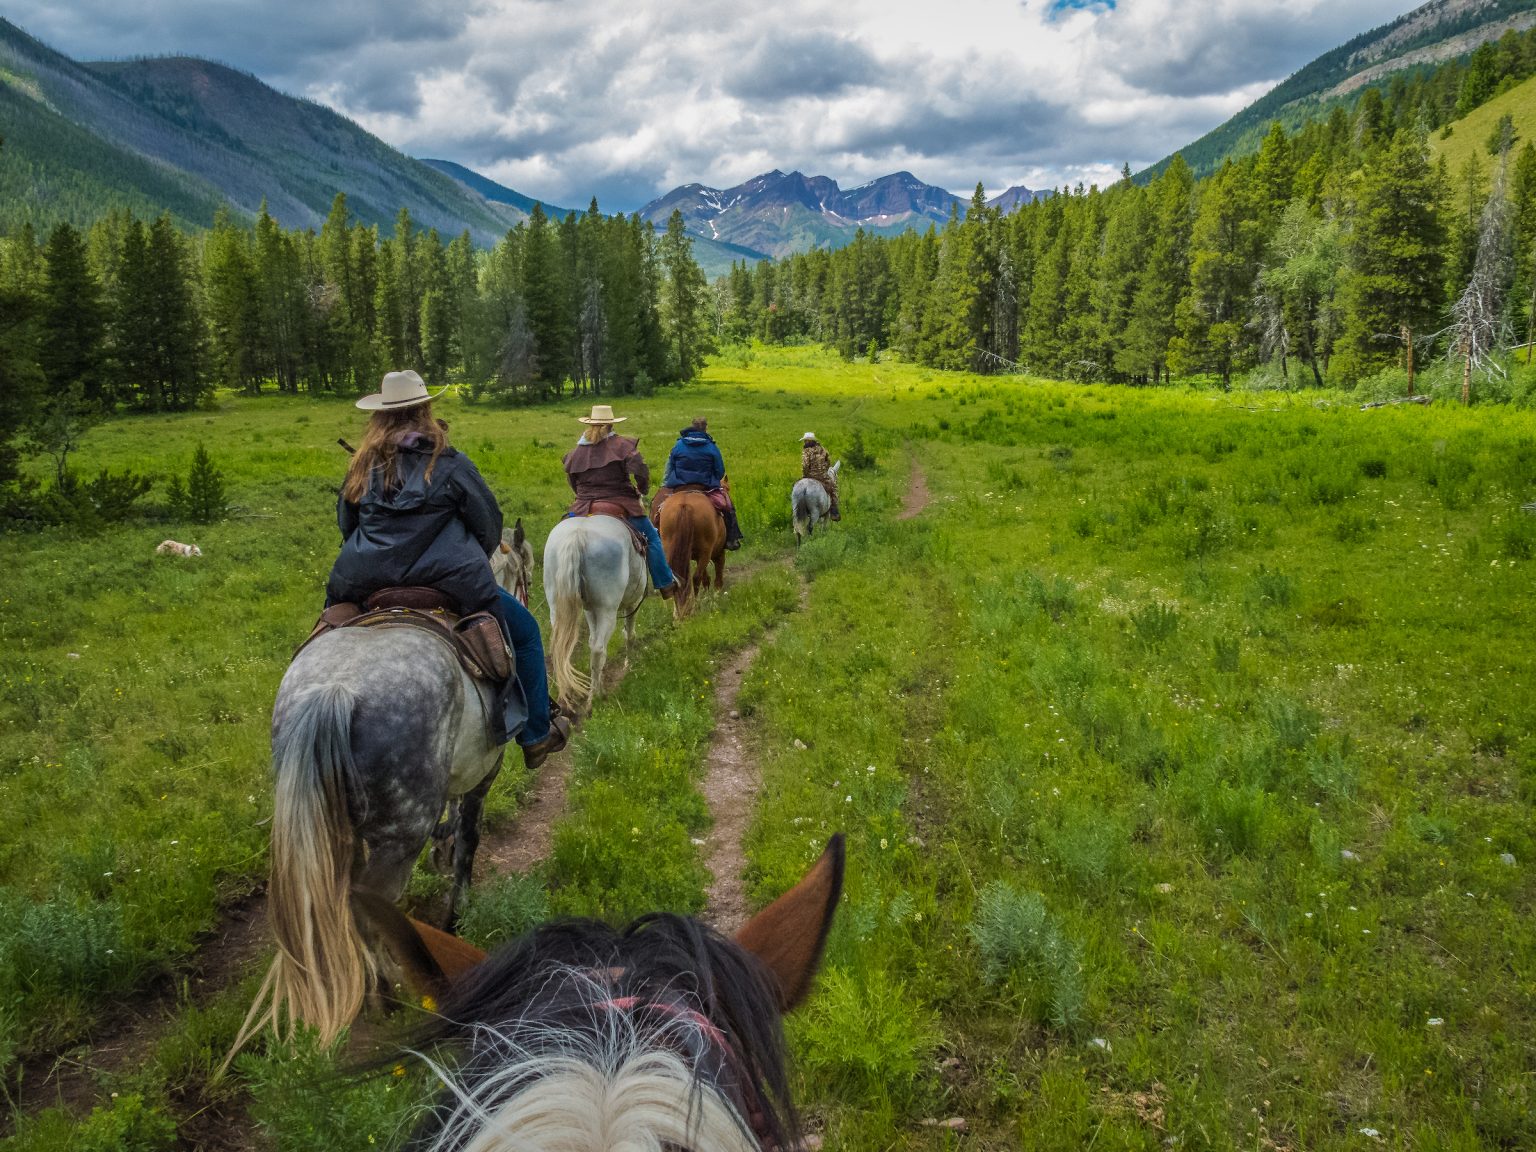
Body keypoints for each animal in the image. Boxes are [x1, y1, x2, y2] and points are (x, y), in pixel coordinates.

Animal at [230, 626, 503, 1062]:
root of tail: (336, 690)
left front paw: (442, 850)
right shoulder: (487, 769)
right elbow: (469, 836)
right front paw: (456, 915)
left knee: (348, 897)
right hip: (400, 839)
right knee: (370, 903)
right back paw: (387, 993)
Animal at [543, 513, 645, 712]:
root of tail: (577, 535)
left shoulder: (590, 610)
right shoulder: (632, 603)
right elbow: (629, 634)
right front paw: (628, 666)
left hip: (556, 608)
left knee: (561, 649)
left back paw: (567, 696)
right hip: (607, 610)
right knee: (599, 649)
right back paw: (595, 697)